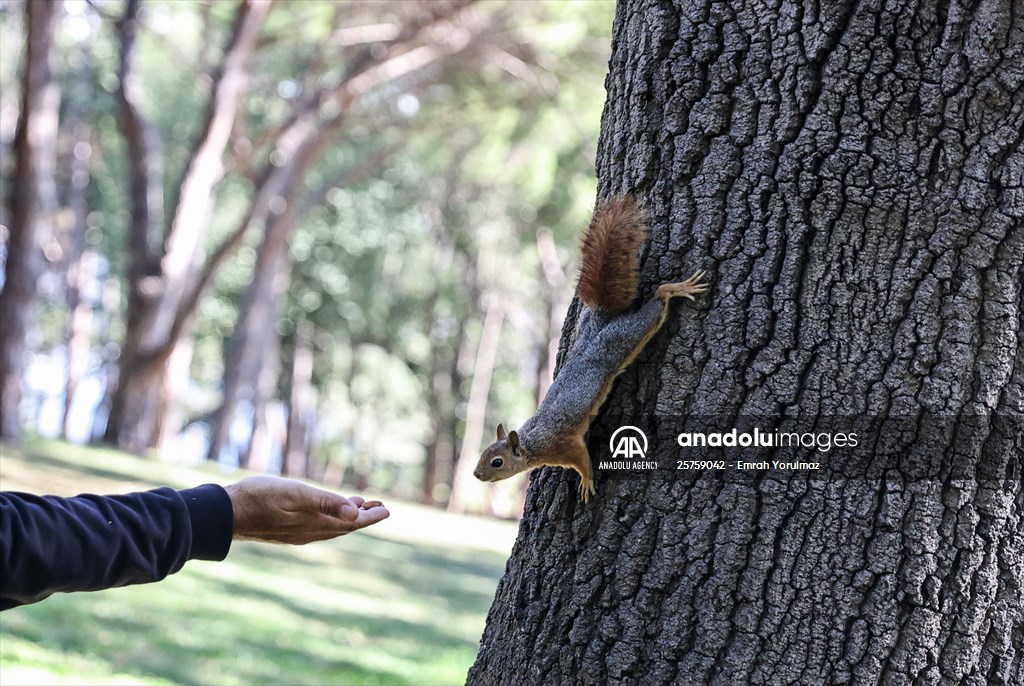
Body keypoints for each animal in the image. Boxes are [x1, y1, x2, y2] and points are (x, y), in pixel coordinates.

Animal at [472, 196, 708, 502]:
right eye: (483, 453)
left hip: (628, 336)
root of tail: (600, 319)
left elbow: (583, 460)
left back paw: (676, 288)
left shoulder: (565, 446)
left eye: (497, 462)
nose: (476, 474)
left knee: (658, 301)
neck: (532, 443)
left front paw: (586, 482)